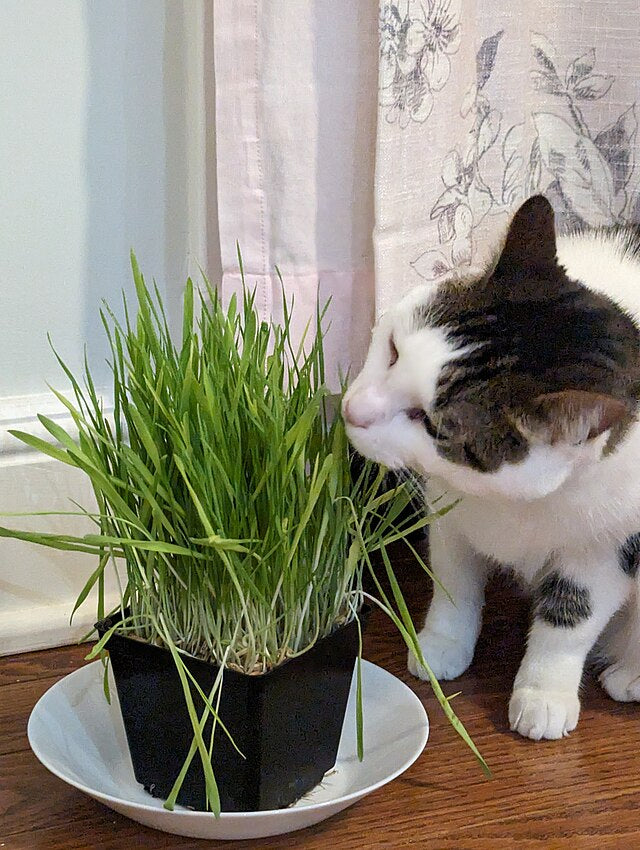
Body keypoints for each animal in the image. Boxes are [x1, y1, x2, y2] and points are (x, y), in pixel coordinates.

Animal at [343, 194, 640, 741]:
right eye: (393, 349)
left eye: (432, 425)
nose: (353, 412)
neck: (505, 505)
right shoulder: (449, 513)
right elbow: (453, 582)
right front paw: (441, 646)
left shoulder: (608, 549)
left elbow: (569, 619)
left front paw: (543, 695)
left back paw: (630, 673)